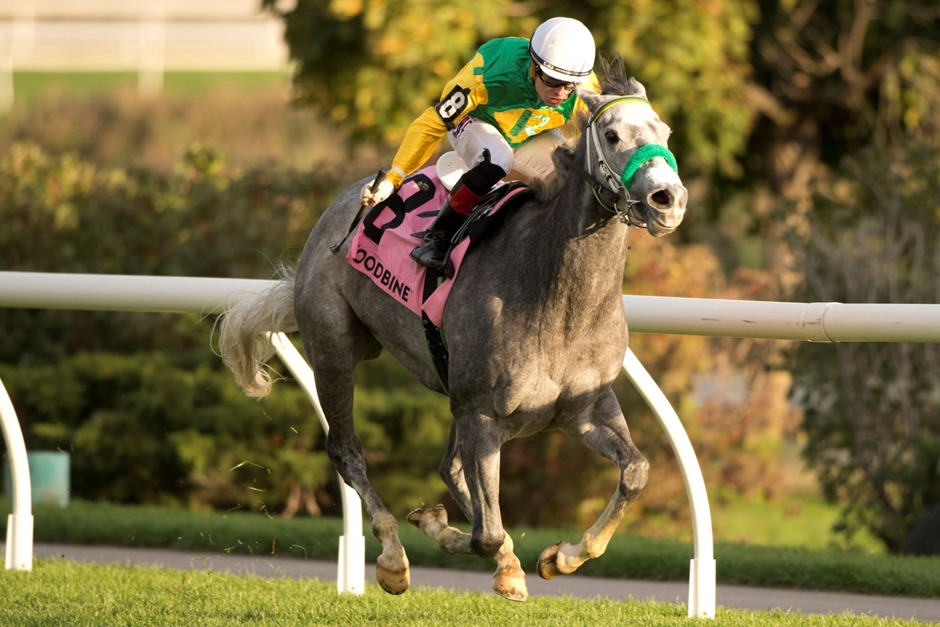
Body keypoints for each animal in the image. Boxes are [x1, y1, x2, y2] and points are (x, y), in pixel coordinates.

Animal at [218, 58, 687, 602]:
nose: (668, 200)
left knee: (451, 467)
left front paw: (561, 556)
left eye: (665, 132)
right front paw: (451, 535)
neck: (556, 294)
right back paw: (393, 557)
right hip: (334, 348)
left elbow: (635, 472)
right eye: (611, 135)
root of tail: (335, 213)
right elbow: (487, 532)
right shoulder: (482, 413)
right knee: (347, 450)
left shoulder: (586, 407)